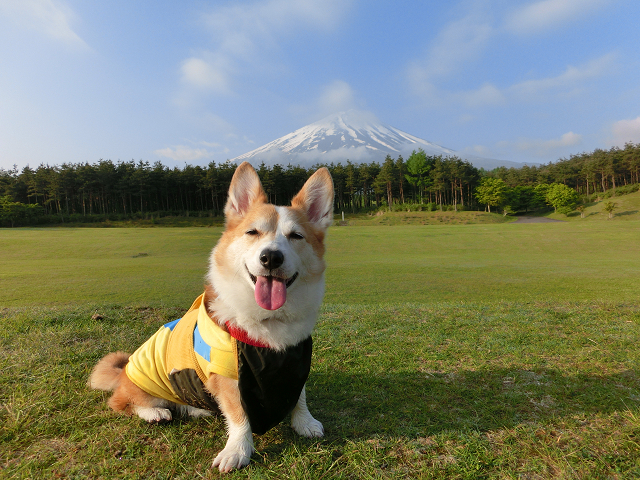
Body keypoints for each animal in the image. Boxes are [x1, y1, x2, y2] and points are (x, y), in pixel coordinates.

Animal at [89, 162, 336, 472]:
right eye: (252, 232)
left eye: (296, 236)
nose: (271, 257)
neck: (269, 323)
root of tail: (122, 372)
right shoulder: (227, 373)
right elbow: (240, 417)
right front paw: (238, 451)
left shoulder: (296, 360)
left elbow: (299, 396)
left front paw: (304, 422)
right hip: (145, 381)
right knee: (122, 402)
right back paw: (154, 412)